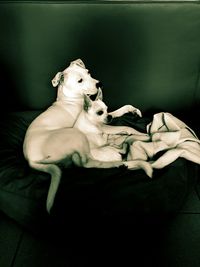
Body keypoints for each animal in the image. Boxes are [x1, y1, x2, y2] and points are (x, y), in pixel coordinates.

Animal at [23, 59, 142, 214]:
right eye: (80, 80)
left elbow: (121, 109)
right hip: (76, 135)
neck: (72, 99)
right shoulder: (102, 124)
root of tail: (30, 160)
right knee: (88, 162)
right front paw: (137, 132)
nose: (99, 84)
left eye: (88, 72)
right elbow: (123, 126)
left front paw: (133, 110)